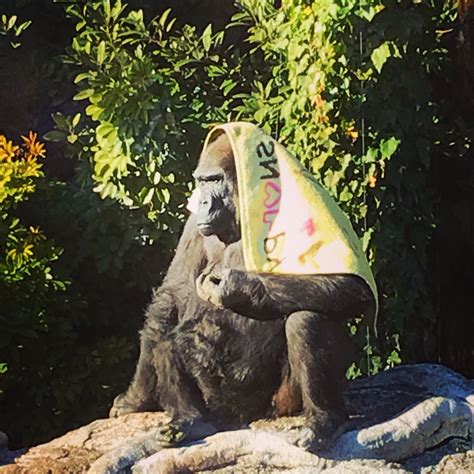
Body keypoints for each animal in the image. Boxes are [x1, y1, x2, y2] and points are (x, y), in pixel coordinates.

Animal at [110, 129, 374, 444]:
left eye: (214, 180)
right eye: (201, 182)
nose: (201, 202)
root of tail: (240, 418)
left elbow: (348, 284)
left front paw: (238, 287)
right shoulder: (194, 224)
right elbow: (172, 293)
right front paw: (135, 398)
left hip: (279, 403)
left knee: (306, 320)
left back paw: (323, 421)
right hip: (215, 402)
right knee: (165, 327)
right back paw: (190, 420)